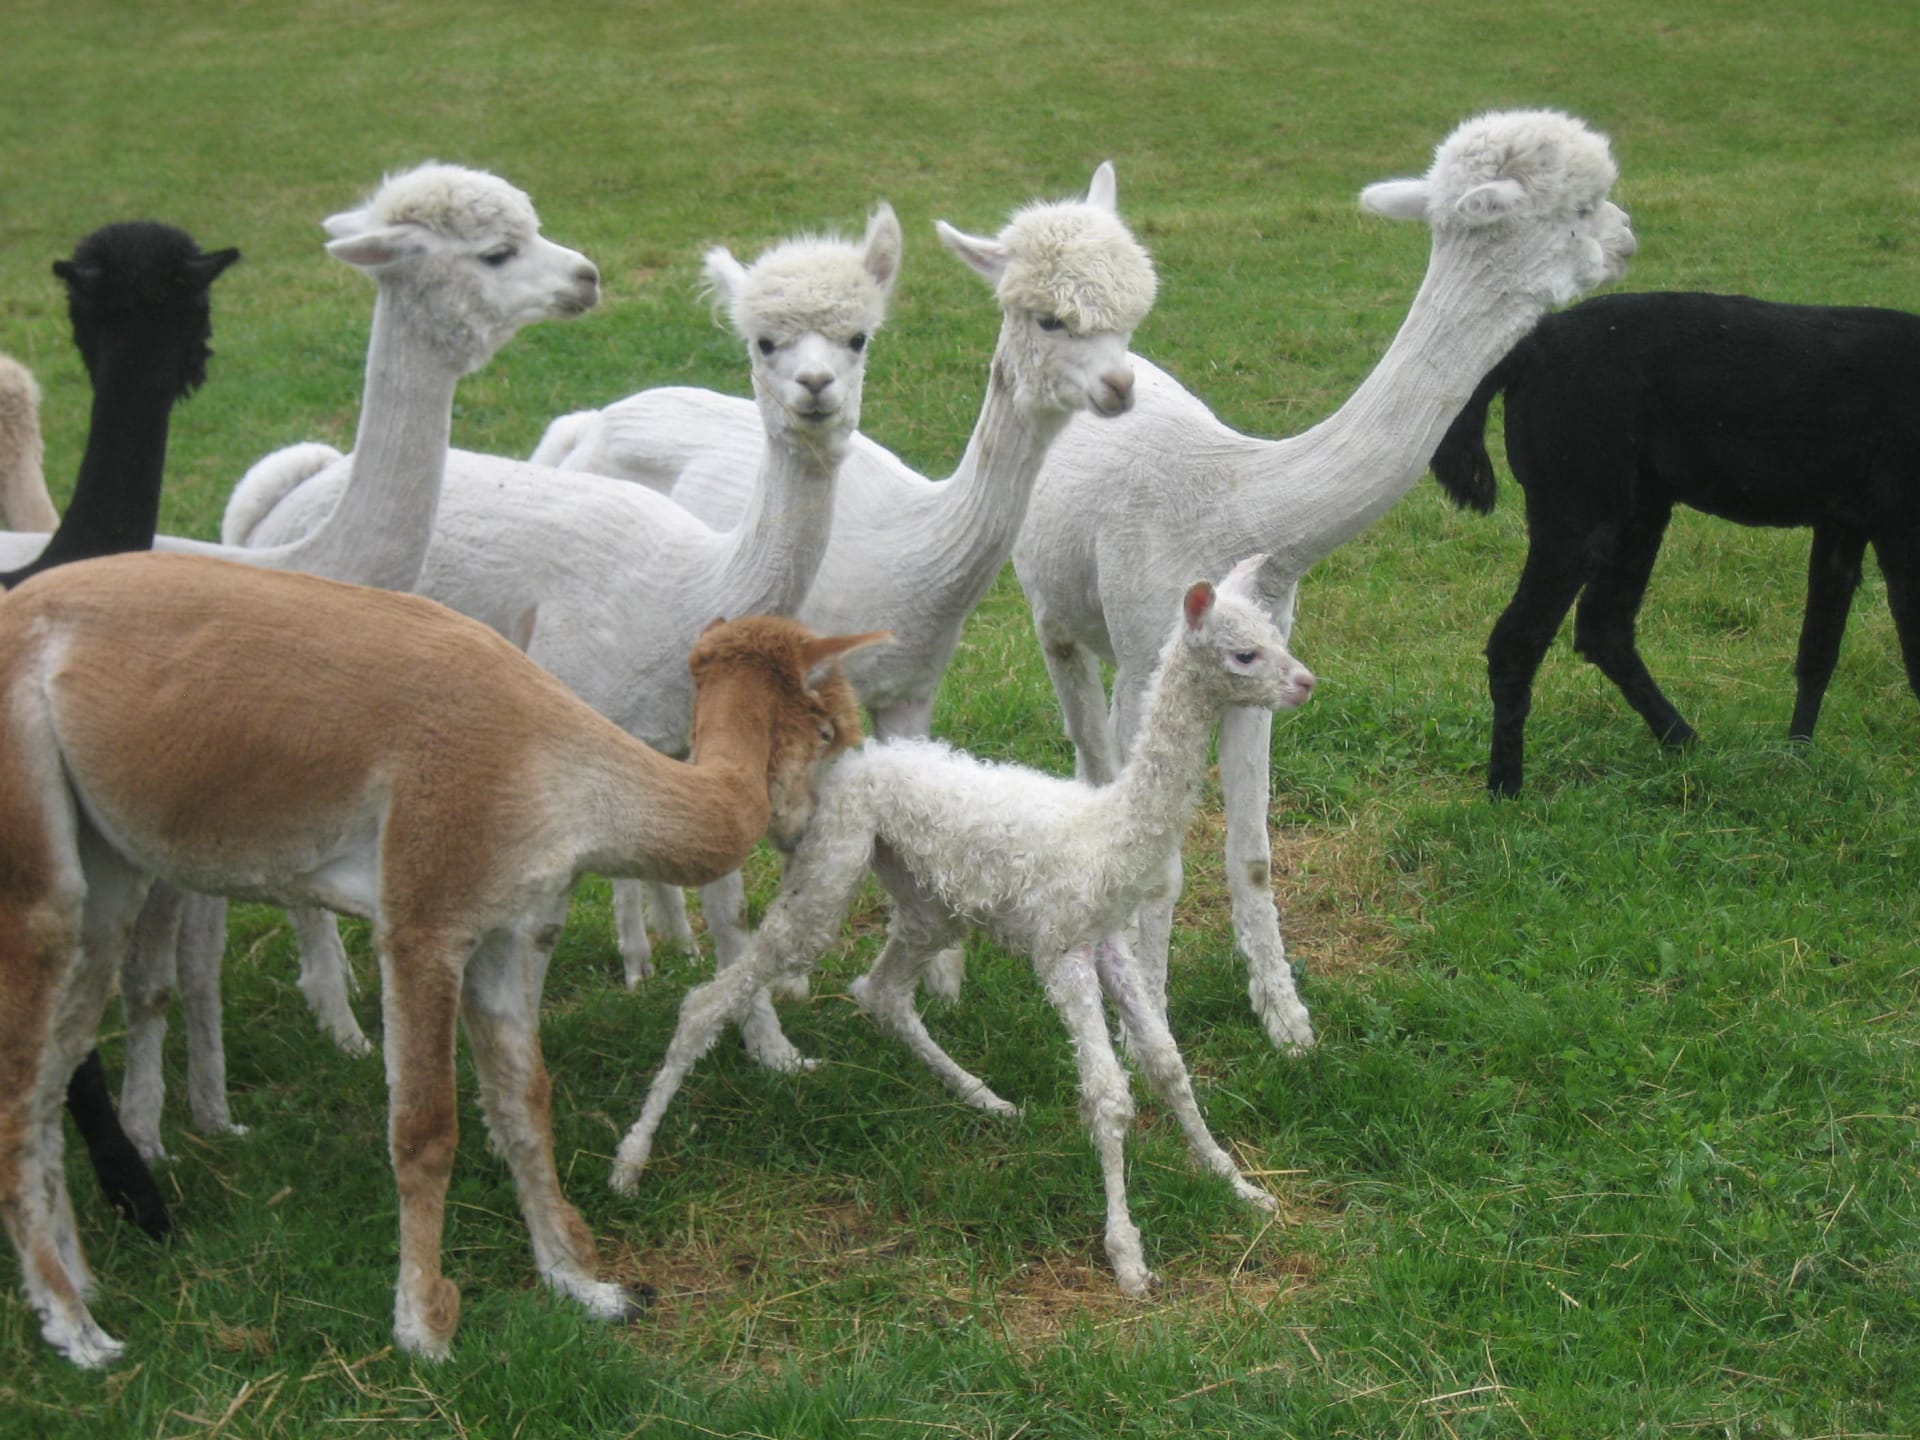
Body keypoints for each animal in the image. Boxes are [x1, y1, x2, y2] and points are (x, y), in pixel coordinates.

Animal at [0, 549, 880, 1368]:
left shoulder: (497, 926)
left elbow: (525, 1102)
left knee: (52, 1081)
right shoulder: (426, 916)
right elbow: (425, 1130)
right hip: (35, 868)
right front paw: (423, 1326)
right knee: (18, 1090)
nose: (814, 832)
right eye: (832, 732)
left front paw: (582, 1285)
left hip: (107, 880)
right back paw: (78, 1331)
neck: (558, 772)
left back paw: (78, 1286)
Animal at [531, 164, 1156, 1000]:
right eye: (1048, 319)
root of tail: (587, 425)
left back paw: (676, 938)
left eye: (1135, 317)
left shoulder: (915, 687)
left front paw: (943, 985)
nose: (1120, 386)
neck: (919, 555)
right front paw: (792, 982)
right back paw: (639, 956)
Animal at [612, 555, 1313, 1298]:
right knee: (709, 999)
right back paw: (630, 1163)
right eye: (1244, 654)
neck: (1106, 830)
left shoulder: (1107, 943)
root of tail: (846, 767)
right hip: (831, 872)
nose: (1305, 683)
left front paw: (1238, 1184)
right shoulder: (1061, 949)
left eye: (1278, 633)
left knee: (881, 991)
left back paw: (986, 1099)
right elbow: (1108, 1094)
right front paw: (1127, 1254)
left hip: (928, 905)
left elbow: (1169, 1065)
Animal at [1008, 111, 1634, 1048]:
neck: (1236, 504)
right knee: (1088, 746)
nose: (1630, 237)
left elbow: (1254, 853)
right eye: (1585, 205)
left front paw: (1287, 1020)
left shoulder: (1259, 669)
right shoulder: (1156, 654)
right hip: (1059, 615)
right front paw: (1142, 1021)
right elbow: (1156, 859)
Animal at [1429, 289, 1920, 795]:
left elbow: (1819, 649)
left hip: (1639, 505)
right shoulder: (1900, 519)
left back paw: (1686, 742)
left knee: (1603, 627)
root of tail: (1530, 347)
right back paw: (1506, 788)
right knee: (1519, 640)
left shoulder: (1843, 521)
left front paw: (1795, 759)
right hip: (1579, 503)